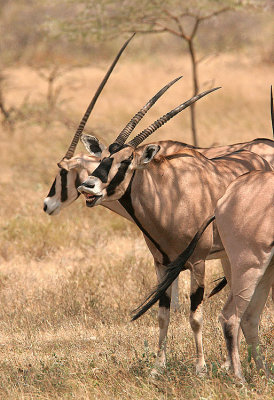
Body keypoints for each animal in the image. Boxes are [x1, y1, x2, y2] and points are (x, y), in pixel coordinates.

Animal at [135, 170, 274, 382]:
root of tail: (224, 200)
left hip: (263, 271)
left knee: (248, 318)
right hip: (251, 268)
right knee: (231, 317)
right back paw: (240, 379)